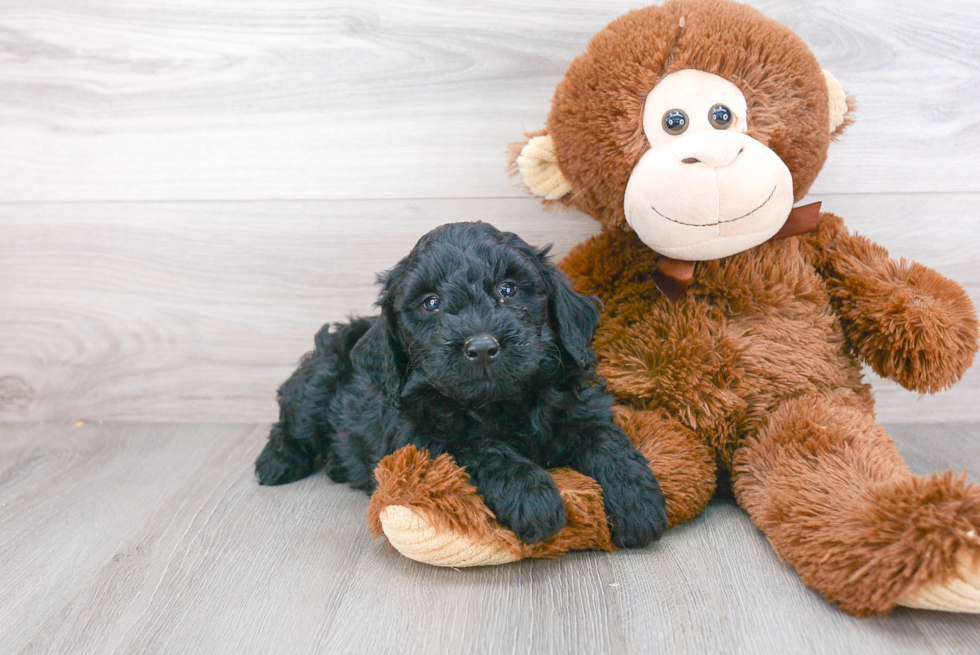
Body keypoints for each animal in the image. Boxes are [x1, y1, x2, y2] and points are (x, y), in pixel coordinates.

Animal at [255, 224, 668, 548]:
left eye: (507, 289)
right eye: (431, 303)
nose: (482, 347)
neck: (500, 402)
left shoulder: (579, 408)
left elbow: (606, 440)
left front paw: (638, 501)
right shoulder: (420, 441)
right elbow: (481, 448)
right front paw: (533, 497)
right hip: (318, 378)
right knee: (291, 420)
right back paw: (277, 462)